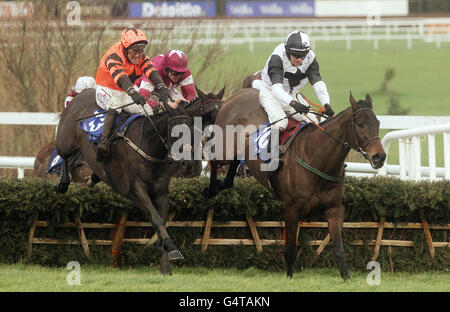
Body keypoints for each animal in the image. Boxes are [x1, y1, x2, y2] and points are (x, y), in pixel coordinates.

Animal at [56, 86, 225, 274]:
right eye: (175, 131)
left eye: (192, 131)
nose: (187, 163)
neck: (149, 145)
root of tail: (80, 94)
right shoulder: (135, 190)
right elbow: (155, 217)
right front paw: (171, 247)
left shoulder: (160, 192)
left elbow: (161, 220)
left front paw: (165, 260)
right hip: (66, 140)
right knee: (63, 155)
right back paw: (63, 182)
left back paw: (90, 178)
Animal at [206, 88, 384, 280]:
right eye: (360, 124)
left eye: (378, 123)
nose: (379, 157)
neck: (316, 159)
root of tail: (237, 94)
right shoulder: (291, 208)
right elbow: (291, 250)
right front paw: (289, 277)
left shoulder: (334, 209)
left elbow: (338, 248)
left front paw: (346, 277)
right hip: (224, 148)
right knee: (213, 159)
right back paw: (211, 189)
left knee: (231, 169)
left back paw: (222, 184)